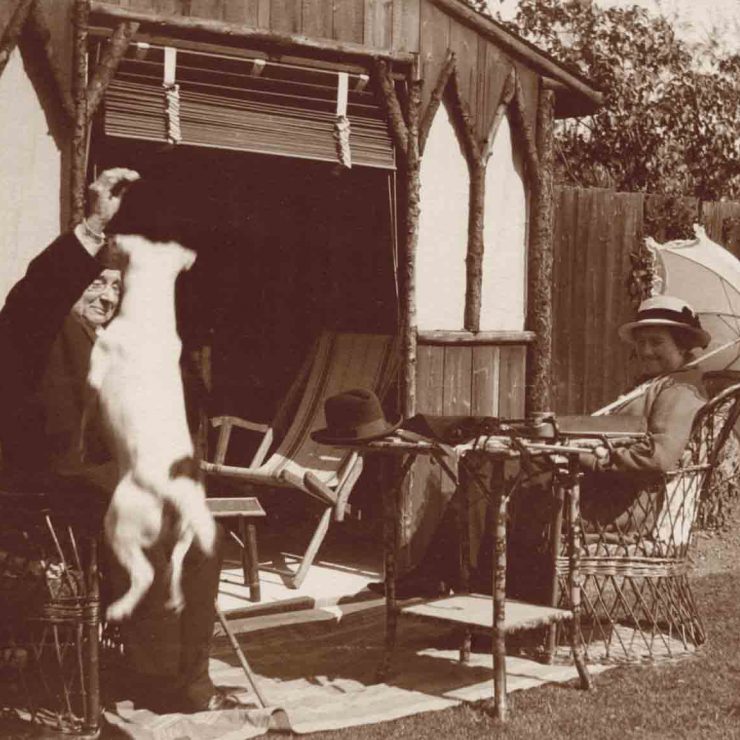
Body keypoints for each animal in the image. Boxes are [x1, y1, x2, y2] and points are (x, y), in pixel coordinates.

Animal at [88, 235, 216, 622]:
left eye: (113, 242)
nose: (100, 240)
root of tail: (174, 492)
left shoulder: (96, 367)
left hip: (118, 522)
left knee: (144, 575)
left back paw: (118, 609)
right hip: (185, 537)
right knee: (174, 566)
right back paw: (175, 600)